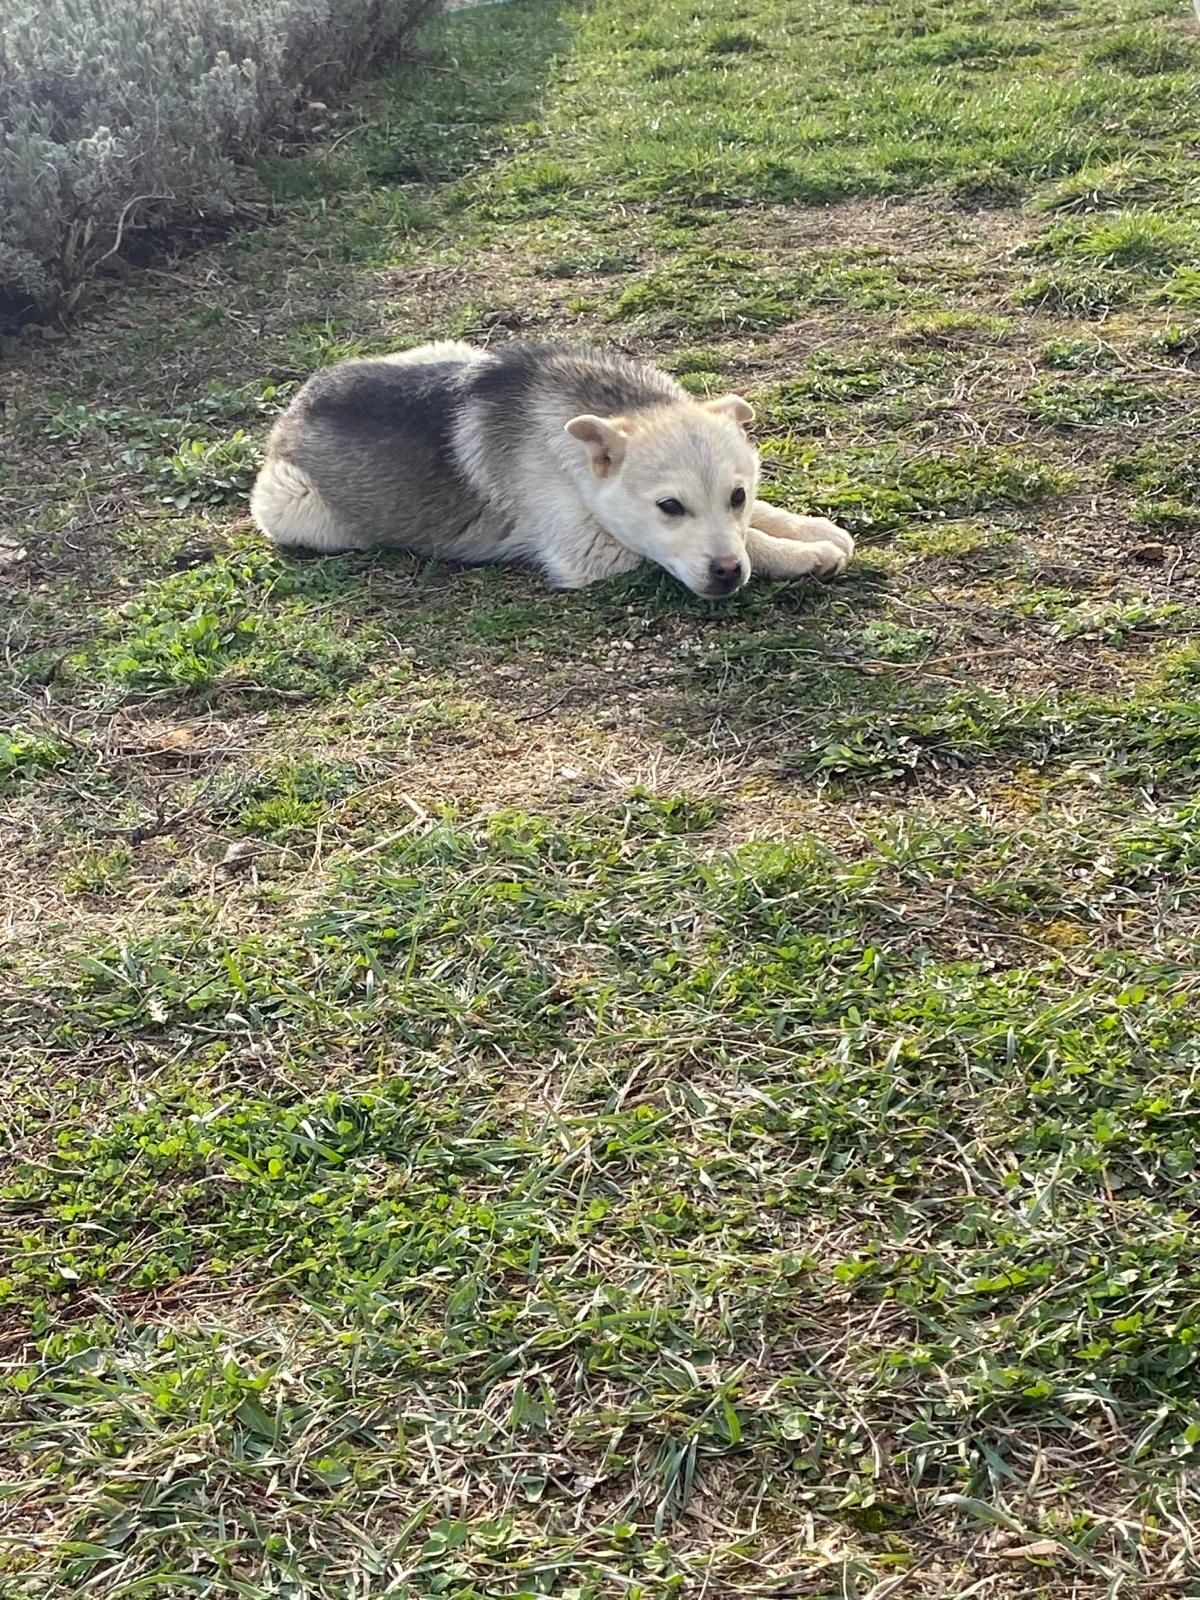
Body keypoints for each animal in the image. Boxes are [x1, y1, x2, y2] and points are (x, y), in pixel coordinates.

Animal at [251, 340, 857, 598]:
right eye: (669, 507)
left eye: (737, 496)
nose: (727, 575)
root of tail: (297, 402)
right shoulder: (591, 551)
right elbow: (749, 541)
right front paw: (803, 554)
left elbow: (758, 522)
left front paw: (807, 527)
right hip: (297, 508)